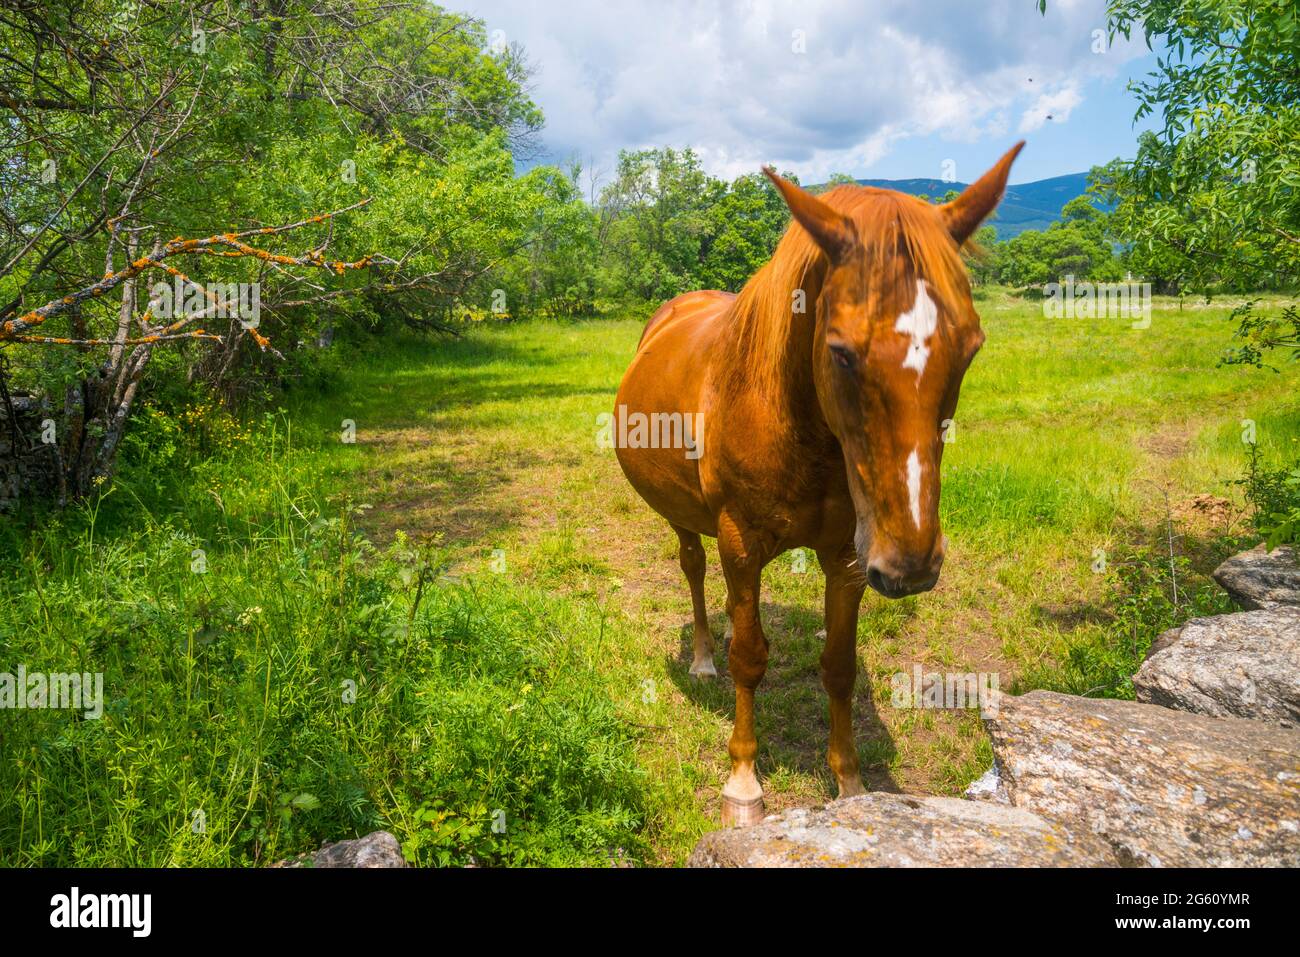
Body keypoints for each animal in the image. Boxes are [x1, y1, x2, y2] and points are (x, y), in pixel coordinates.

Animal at [613, 142, 1024, 826]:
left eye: (970, 348)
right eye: (839, 352)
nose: (910, 565)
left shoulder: (848, 556)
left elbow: (839, 667)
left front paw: (850, 781)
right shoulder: (740, 543)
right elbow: (750, 659)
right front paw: (743, 783)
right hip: (686, 520)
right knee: (694, 571)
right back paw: (703, 655)